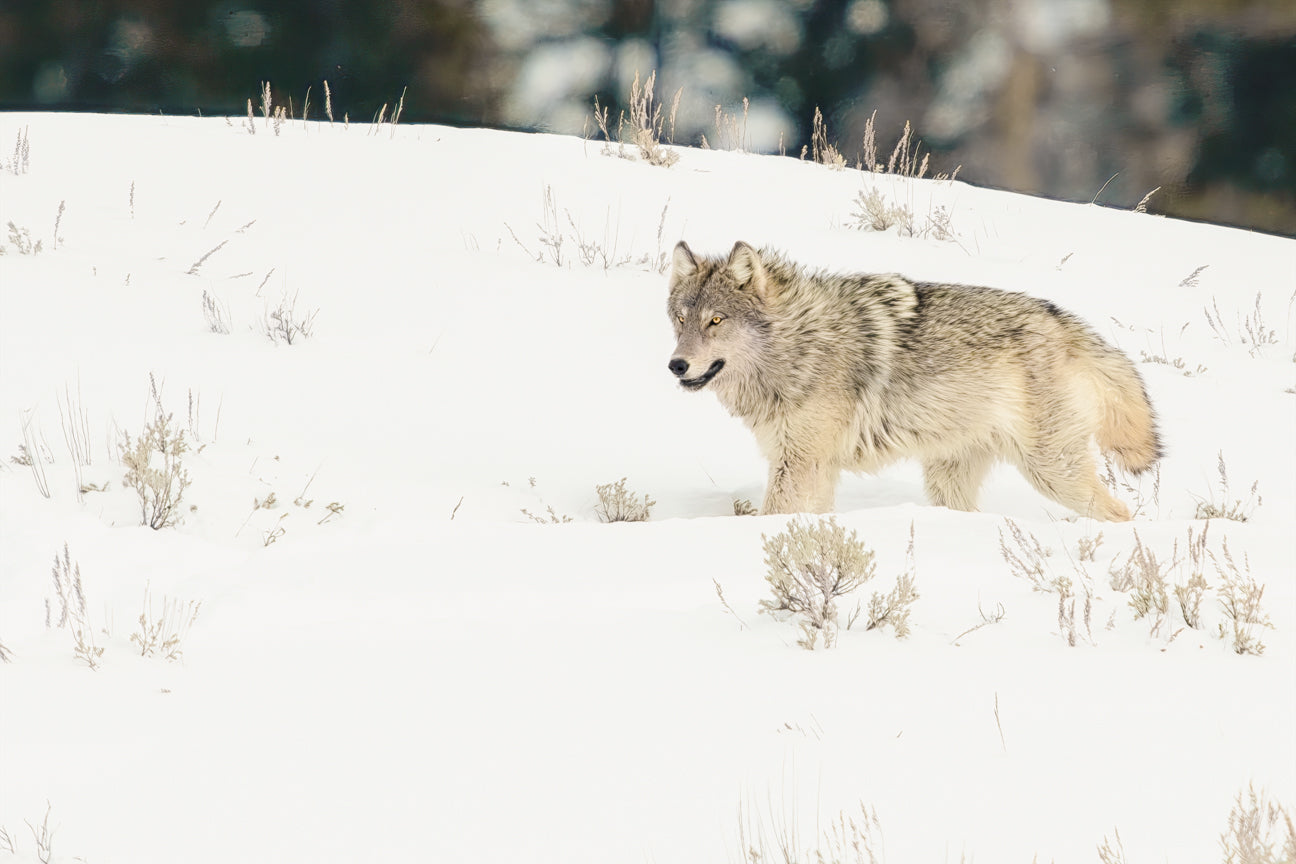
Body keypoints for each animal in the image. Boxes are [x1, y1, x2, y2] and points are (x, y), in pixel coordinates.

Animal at [666, 241, 1161, 521]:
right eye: (681, 319)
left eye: (716, 320)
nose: (676, 365)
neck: (799, 342)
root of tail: (1064, 321)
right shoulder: (815, 465)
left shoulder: (800, 463)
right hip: (948, 481)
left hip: (1053, 472)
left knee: (1120, 514)